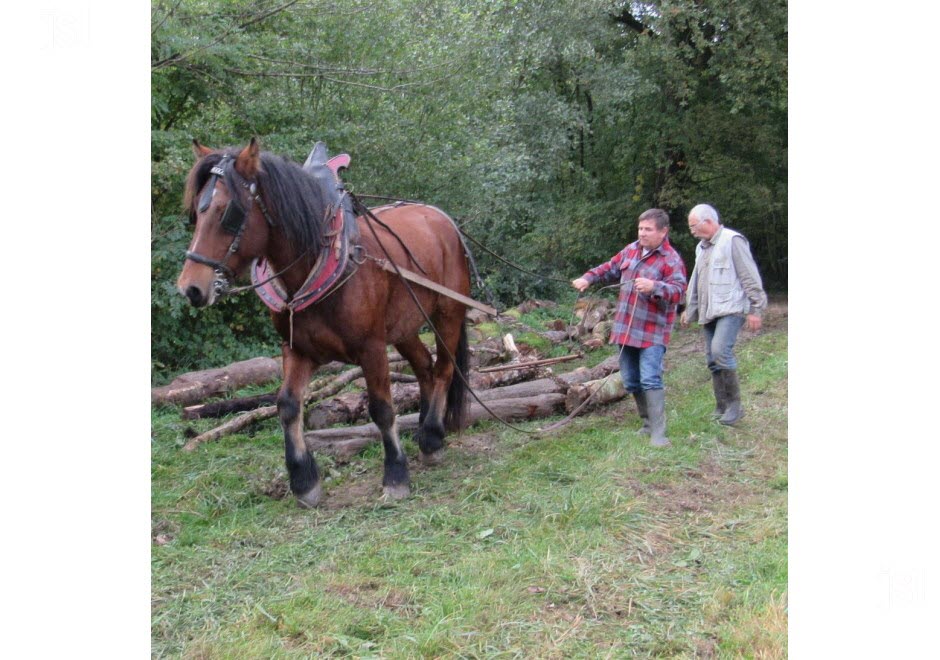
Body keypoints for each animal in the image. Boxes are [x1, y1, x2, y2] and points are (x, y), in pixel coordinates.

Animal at [174, 139, 470, 508]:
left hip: (448, 313)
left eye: (228, 213)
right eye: (196, 212)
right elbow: (287, 405)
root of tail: (444, 221)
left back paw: (431, 438)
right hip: (404, 327)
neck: (318, 259)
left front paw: (396, 475)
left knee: (443, 370)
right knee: (424, 367)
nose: (190, 288)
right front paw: (304, 481)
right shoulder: (297, 349)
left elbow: (382, 409)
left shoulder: (372, 348)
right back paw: (426, 433)